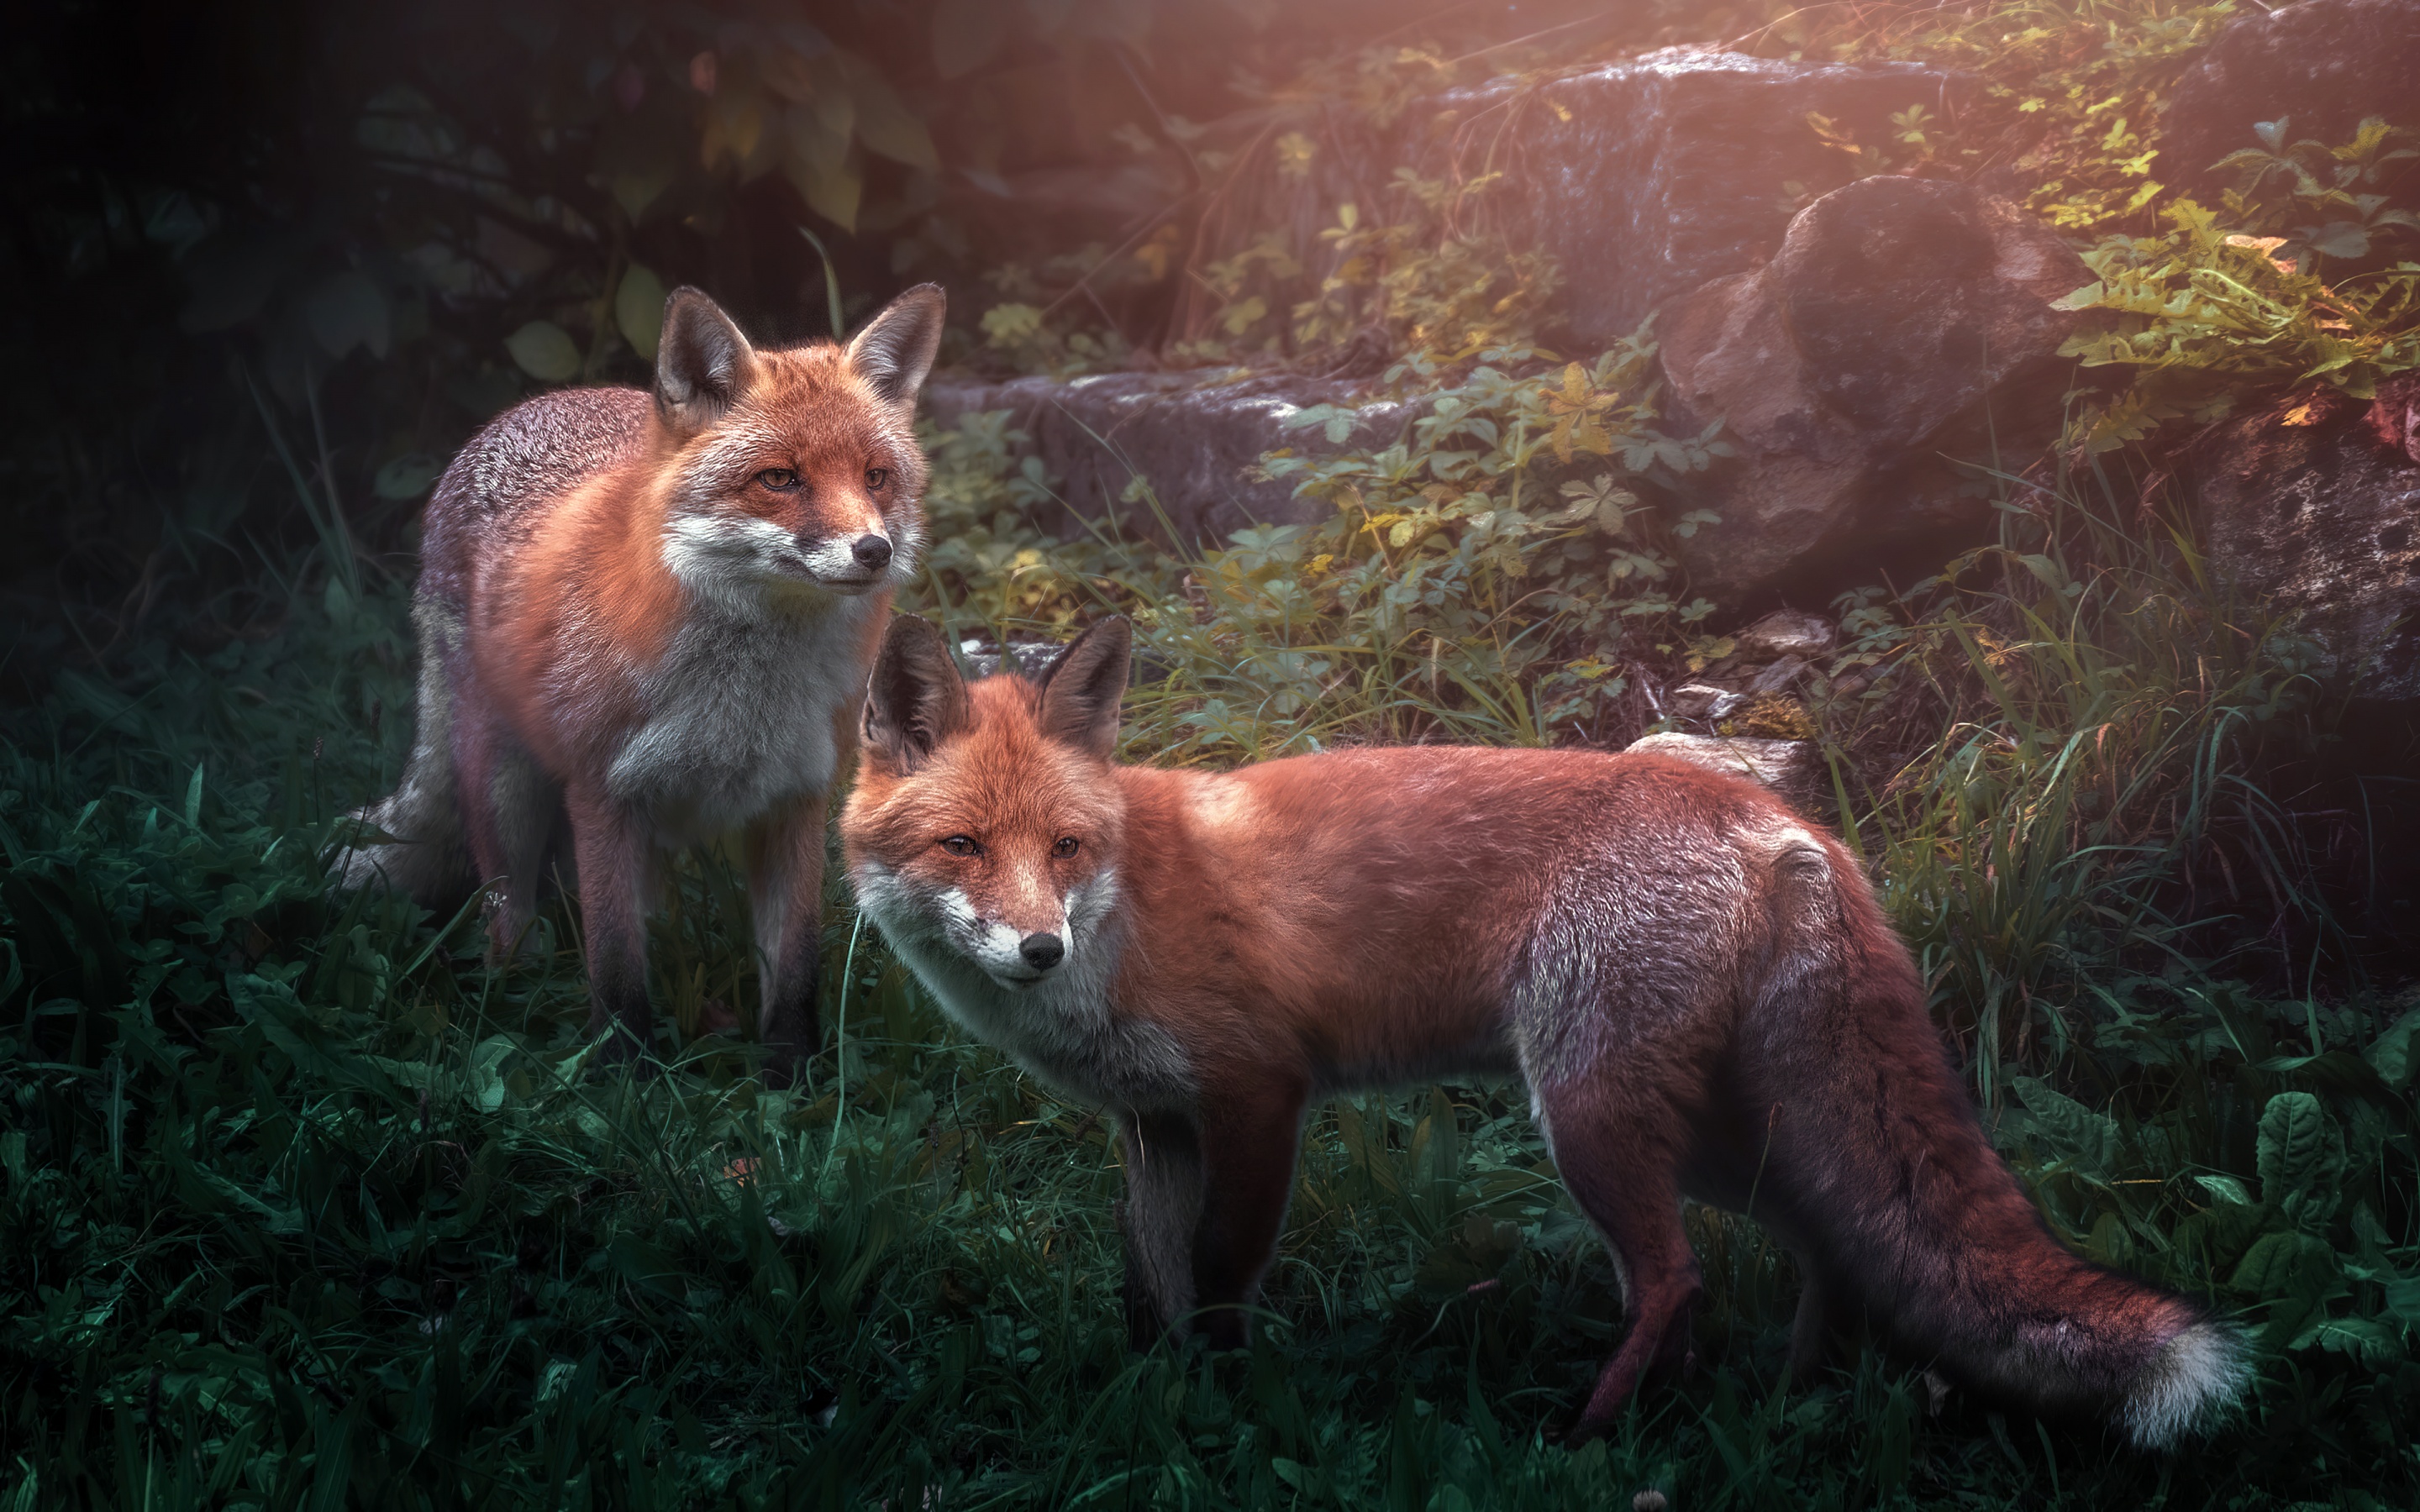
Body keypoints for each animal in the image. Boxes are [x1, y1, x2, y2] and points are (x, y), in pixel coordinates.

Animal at [336, 283, 946, 1081]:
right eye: (780, 479)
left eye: (876, 477)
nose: (873, 550)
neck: (743, 703)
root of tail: (528, 408)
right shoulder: (603, 795)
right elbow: (617, 966)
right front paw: (620, 1076)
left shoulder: (798, 798)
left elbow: (792, 969)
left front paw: (791, 1077)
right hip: (507, 794)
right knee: (510, 918)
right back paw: (510, 1004)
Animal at [837, 612, 2248, 1448]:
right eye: (964, 848)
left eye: (1065, 849)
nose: (1037, 949)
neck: (1128, 909)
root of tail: (1785, 821)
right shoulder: (1155, 1125)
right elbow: (1151, 1289)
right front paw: (1161, 1408)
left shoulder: (1255, 1095)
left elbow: (1224, 1277)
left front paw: (1226, 1414)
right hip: (1715, 1127)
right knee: (1827, 1245)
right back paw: (1791, 1406)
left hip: (1588, 1112)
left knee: (1676, 1275)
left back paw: (1588, 1437)